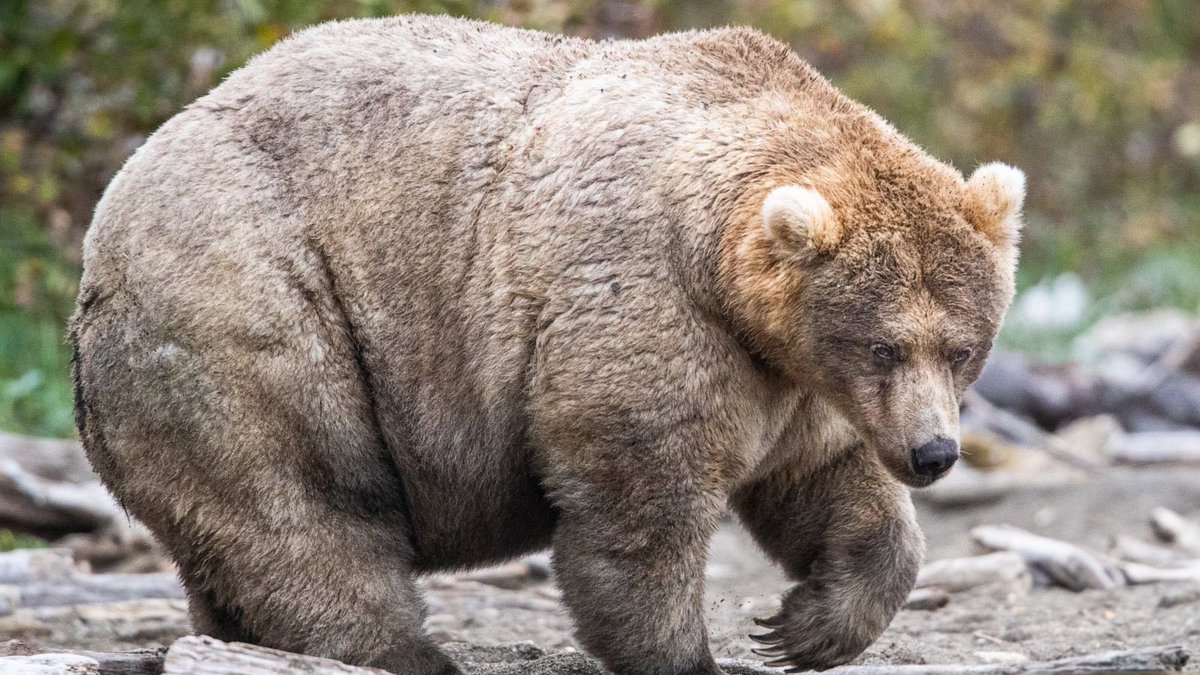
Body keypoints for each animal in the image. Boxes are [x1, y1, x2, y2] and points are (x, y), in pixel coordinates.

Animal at [69, 15, 1024, 675]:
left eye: (961, 347)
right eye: (884, 346)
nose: (935, 453)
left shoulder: (790, 377)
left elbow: (826, 482)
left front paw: (804, 625)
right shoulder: (647, 305)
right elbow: (640, 506)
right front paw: (689, 651)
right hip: (254, 305)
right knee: (302, 503)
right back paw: (406, 652)